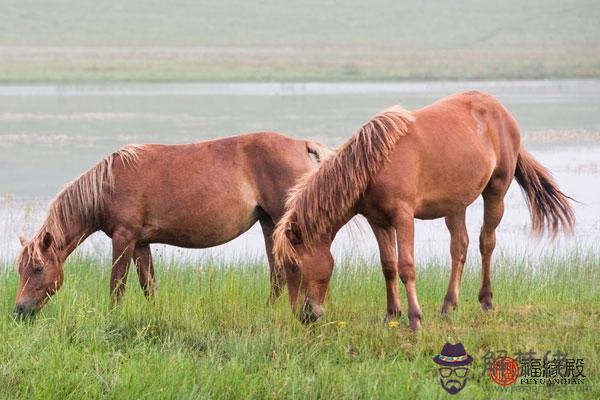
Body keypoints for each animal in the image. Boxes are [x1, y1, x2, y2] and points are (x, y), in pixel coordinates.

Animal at [14, 133, 330, 318]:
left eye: (38, 268)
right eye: (21, 270)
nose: (19, 310)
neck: (107, 185)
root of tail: (300, 145)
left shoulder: (124, 238)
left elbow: (117, 284)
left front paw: (112, 318)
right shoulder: (140, 243)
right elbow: (148, 285)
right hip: (268, 223)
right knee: (277, 274)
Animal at [274, 92, 576, 330]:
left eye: (293, 265)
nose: (304, 316)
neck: (374, 164)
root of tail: (499, 109)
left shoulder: (403, 217)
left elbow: (406, 266)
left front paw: (414, 319)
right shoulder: (378, 221)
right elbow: (388, 266)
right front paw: (391, 315)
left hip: (496, 192)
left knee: (486, 243)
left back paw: (486, 300)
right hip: (456, 205)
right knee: (459, 247)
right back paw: (448, 305)